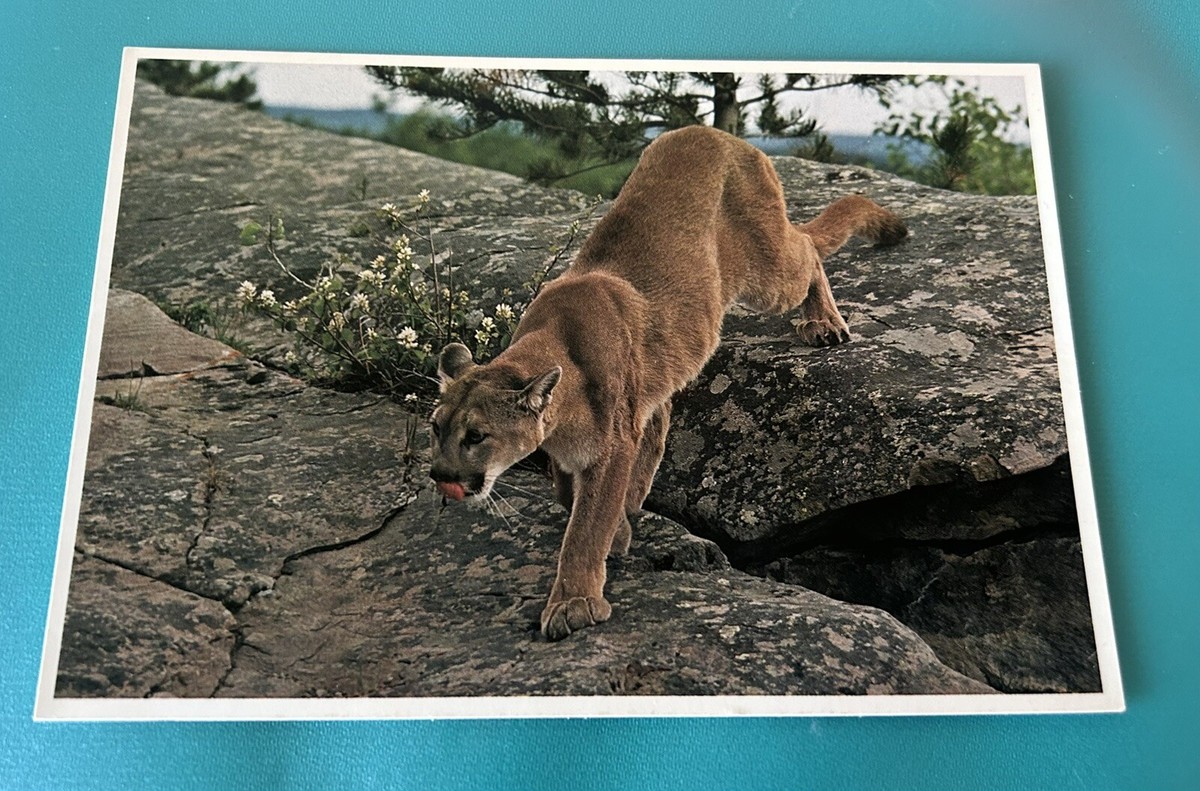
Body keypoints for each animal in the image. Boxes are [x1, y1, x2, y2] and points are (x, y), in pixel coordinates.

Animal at [429, 125, 906, 640]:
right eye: (436, 428)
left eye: (476, 436)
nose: (439, 476)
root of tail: (718, 133)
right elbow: (568, 493)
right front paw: (616, 530)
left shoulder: (612, 445)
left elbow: (586, 525)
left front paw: (574, 601)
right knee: (659, 417)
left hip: (769, 273)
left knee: (807, 250)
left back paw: (824, 321)